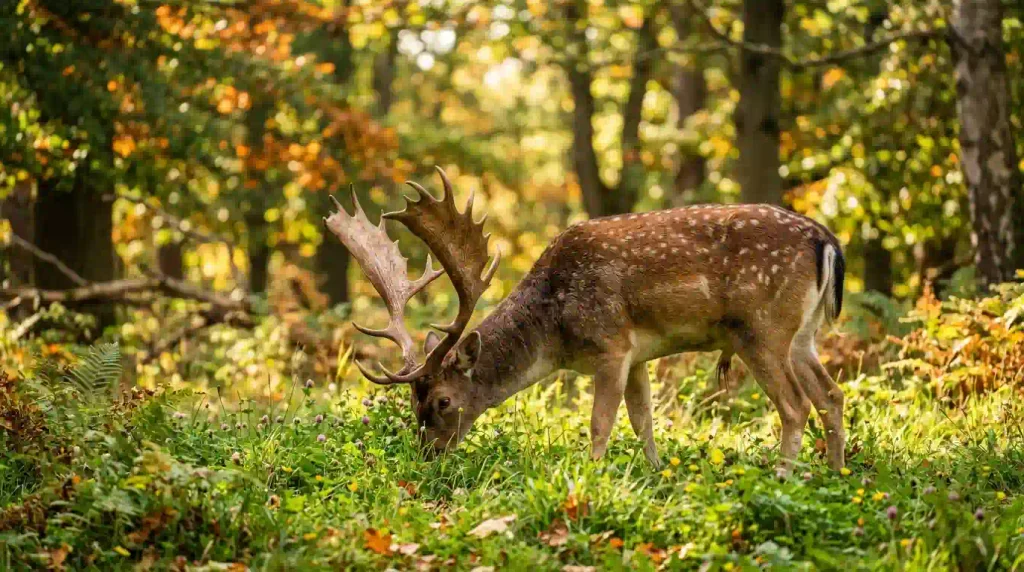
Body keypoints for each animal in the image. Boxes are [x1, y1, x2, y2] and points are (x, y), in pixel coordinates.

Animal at [324, 167, 846, 473]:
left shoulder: (611, 343)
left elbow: (600, 423)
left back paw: (781, 479)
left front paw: (591, 481)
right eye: (413, 403)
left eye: (444, 401)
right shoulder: (640, 355)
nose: (428, 456)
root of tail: (825, 240)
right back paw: (836, 473)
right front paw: (655, 474)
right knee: (832, 394)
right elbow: (643, 419)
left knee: (796, 405)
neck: (555, 334)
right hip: (802, 335)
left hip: (762, 327)